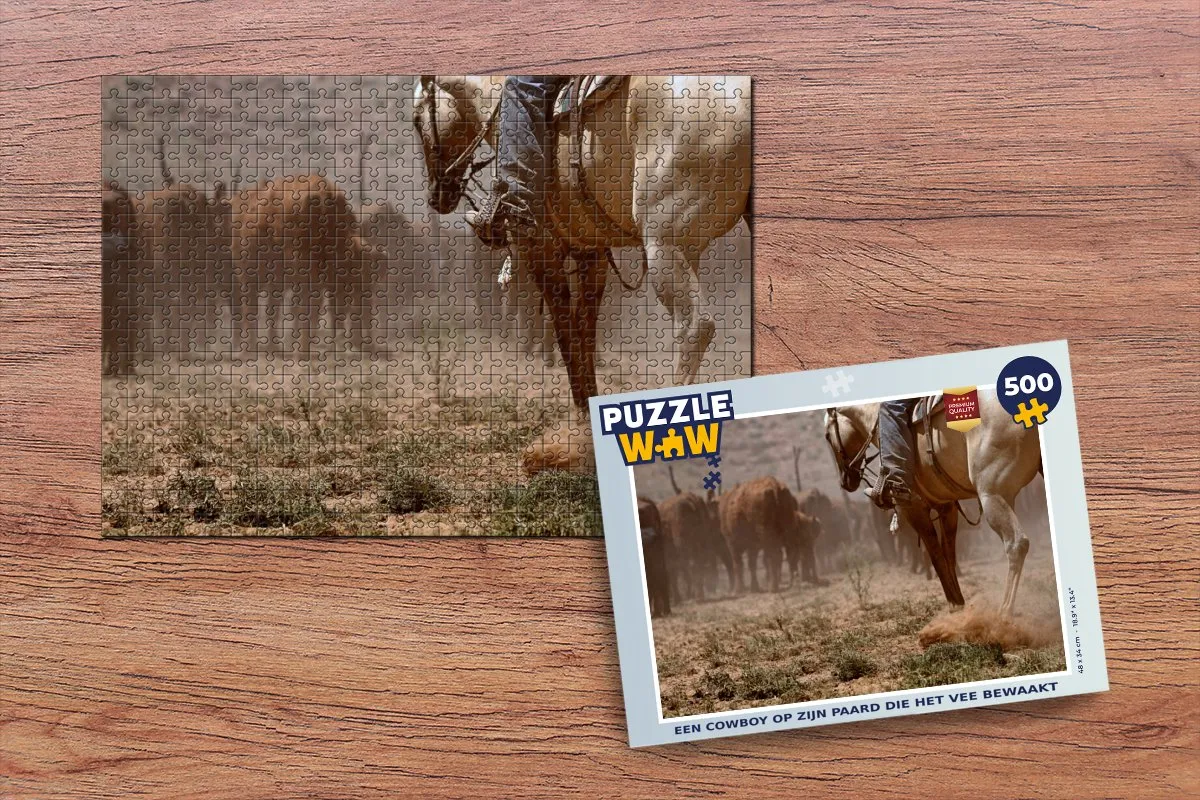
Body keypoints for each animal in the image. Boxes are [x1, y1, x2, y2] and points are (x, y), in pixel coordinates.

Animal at [413, 75, 752, 409]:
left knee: (695, 327)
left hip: (666, 243)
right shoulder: (592, 252)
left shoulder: (541, 250)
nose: (436, 196)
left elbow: (566, 334)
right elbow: (584, 335)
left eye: (417, 120)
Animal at [823, 391, 1042, 616]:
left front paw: (954, 604)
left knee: (1016, 544)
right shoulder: (946, 505)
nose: (845, 480)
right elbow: (948, 553)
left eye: (827, 436)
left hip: (993, 494)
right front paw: (959, 603)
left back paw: (1004, 611)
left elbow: (935, 553)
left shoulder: (914, 509)